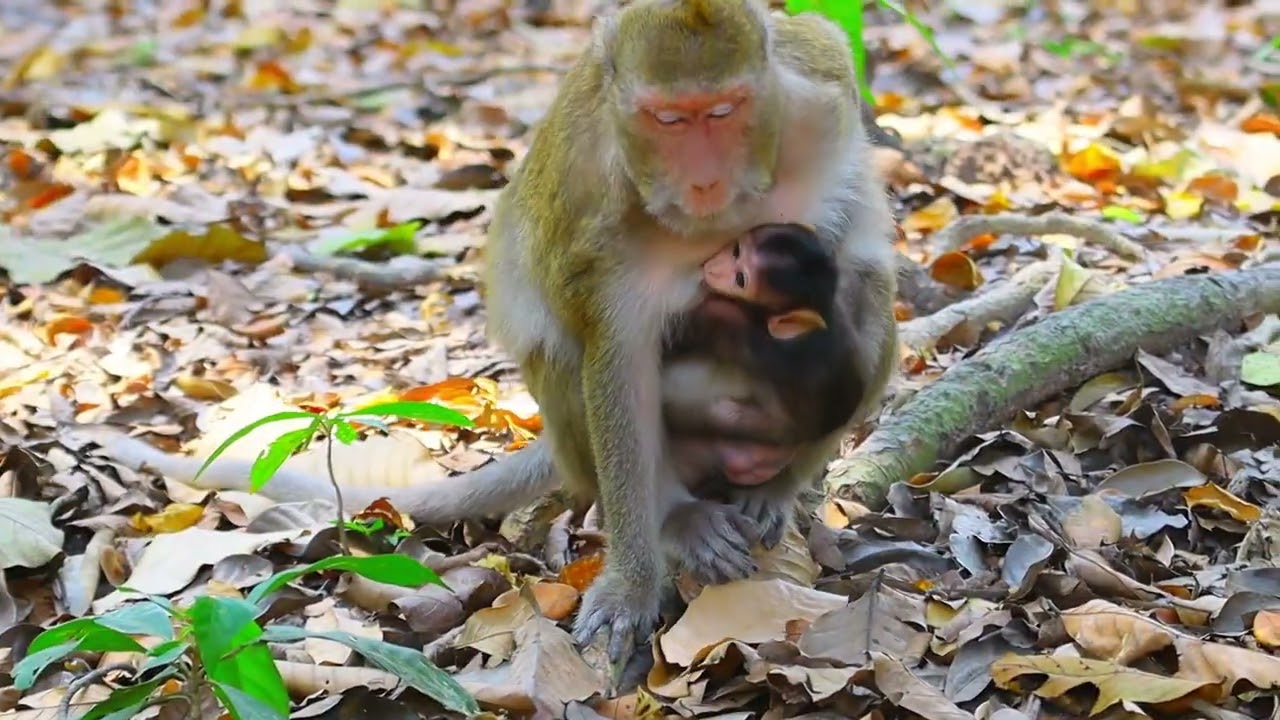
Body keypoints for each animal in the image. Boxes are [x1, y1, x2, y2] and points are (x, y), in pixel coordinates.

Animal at [90, 0, 900, 665]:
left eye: (724, 110)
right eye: (669, 120)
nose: (702, 178)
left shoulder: (822, 90)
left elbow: (854, 255)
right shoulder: (594, 206)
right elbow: (616, 359)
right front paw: (633, 581)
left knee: (869, 295)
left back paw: (780, 483)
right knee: (573, 359)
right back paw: (679, 517)